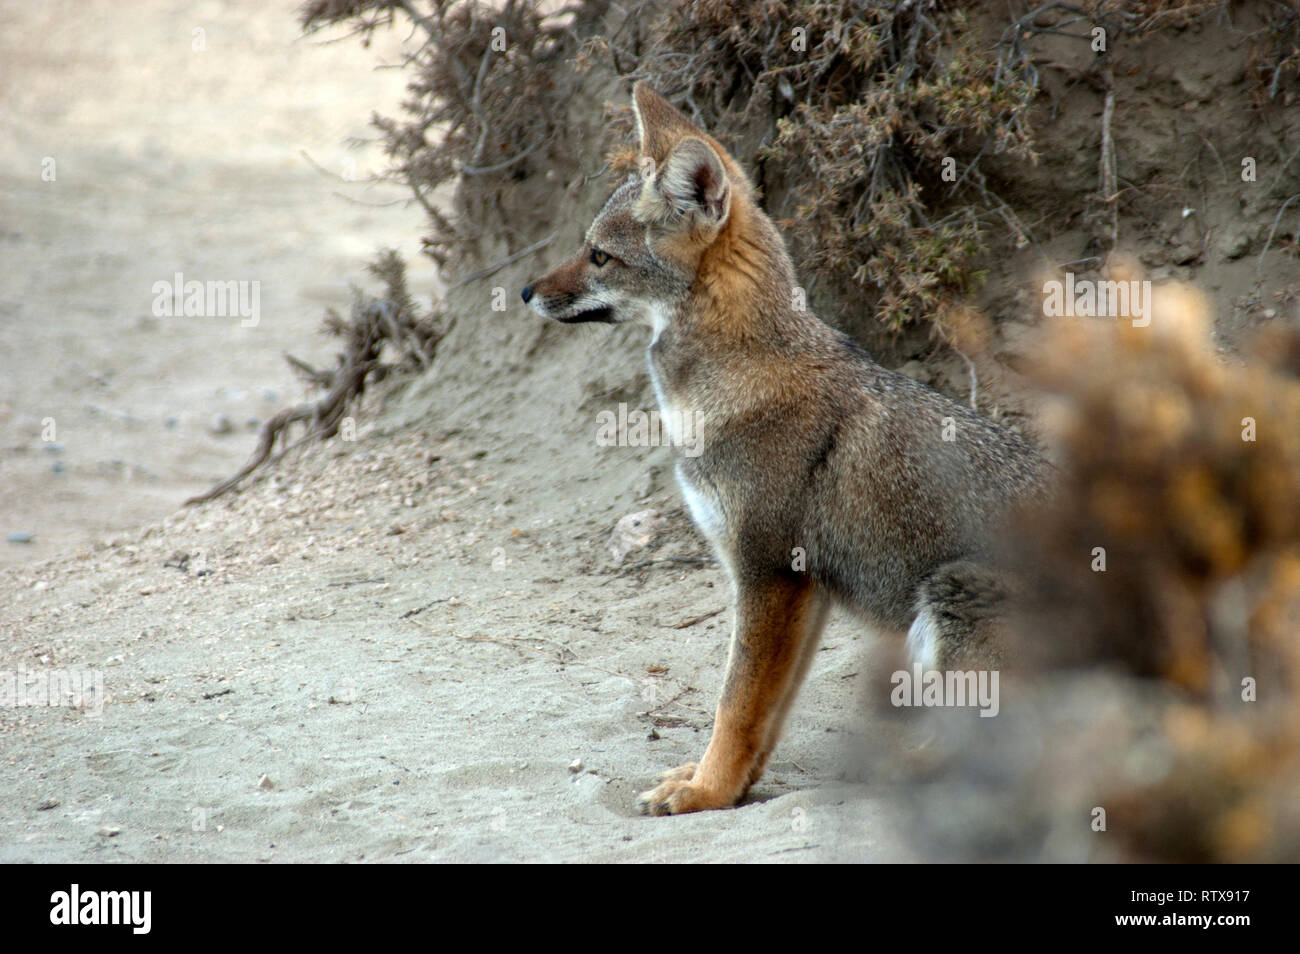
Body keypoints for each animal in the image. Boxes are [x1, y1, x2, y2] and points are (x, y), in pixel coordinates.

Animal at [522, 83, 1048, 815]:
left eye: (598, 255)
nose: (524, 292)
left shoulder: (768, 573)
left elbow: (734, 703)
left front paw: (706, 791)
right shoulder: (801, 592)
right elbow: (766, 712)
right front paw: (727, 784)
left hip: (947, 601)